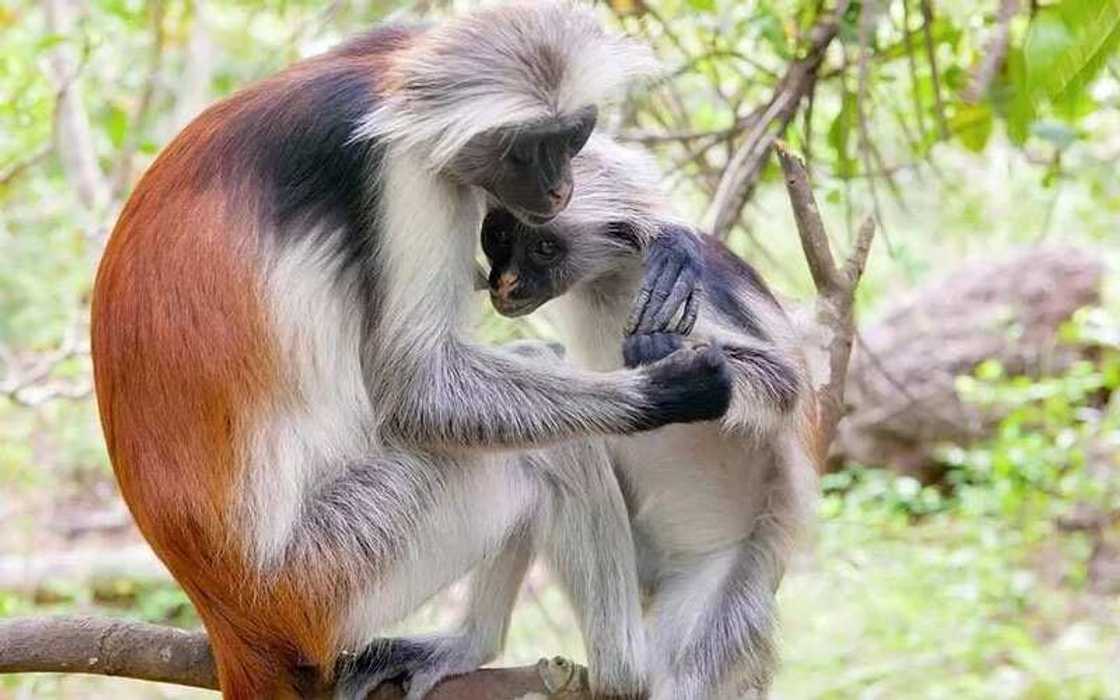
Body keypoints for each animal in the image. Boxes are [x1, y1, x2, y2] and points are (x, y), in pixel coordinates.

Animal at [91, 2, 730, 694]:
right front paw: (667, 390)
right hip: (335, 569)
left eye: (572, 137)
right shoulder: (401, 171)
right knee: (545, 449)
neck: (387, 88)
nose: (559, 189)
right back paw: (621, 673)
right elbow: (416, 389)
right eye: (528, 149)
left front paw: (662, 227)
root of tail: (230, 617)